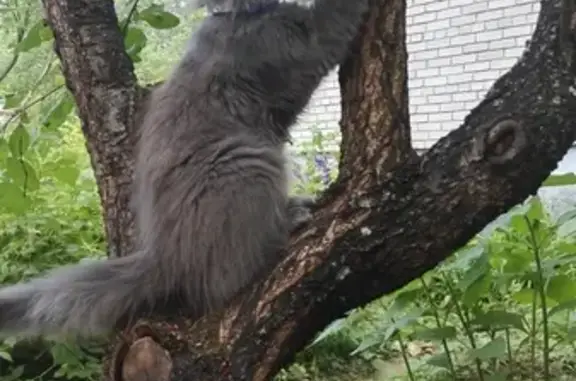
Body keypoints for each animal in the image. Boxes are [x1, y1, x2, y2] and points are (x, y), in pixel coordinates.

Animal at [0, 0, 368, 336]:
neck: (243, 18)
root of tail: (162, 254)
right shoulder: (306, 43)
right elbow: (336, 17)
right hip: (246, 162)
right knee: (230, 275)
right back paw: (290, 218)